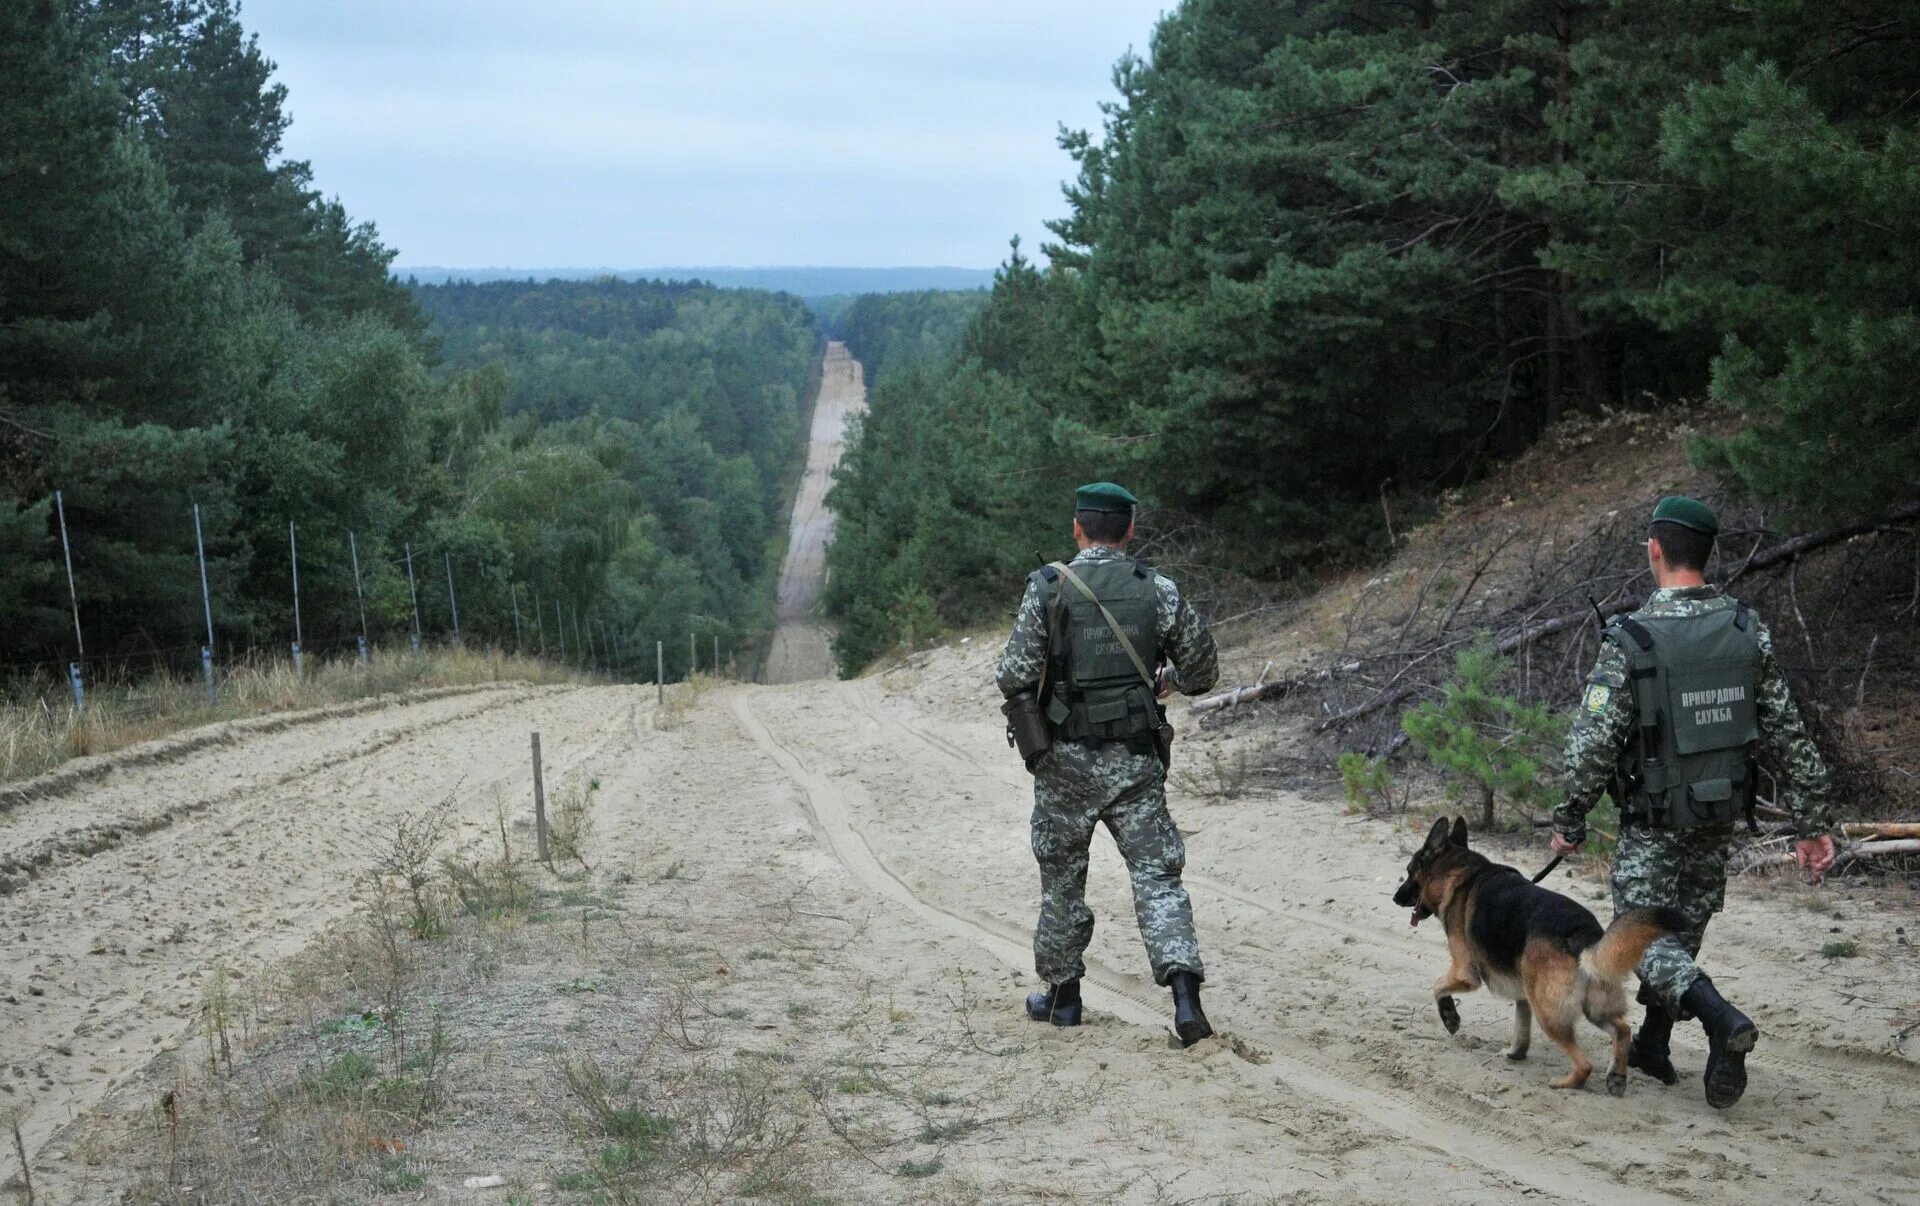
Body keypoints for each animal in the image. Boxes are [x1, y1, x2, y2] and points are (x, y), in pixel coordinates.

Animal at [1397, 818, 1681, 1090]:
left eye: (1409, 871)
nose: (1395, 897)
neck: (1460, 873)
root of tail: (1584, 934)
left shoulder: (1464, 973)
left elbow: (1437, 986)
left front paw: (1450, 1017)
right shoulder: (1523, 994)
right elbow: (1521, 1028)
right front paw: (1515, 1053)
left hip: (1549, 1013)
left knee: (1585, 1064)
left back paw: (1567, 1083)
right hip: (1593, 1006)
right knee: (1622, 1030)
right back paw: (1617, 1077)